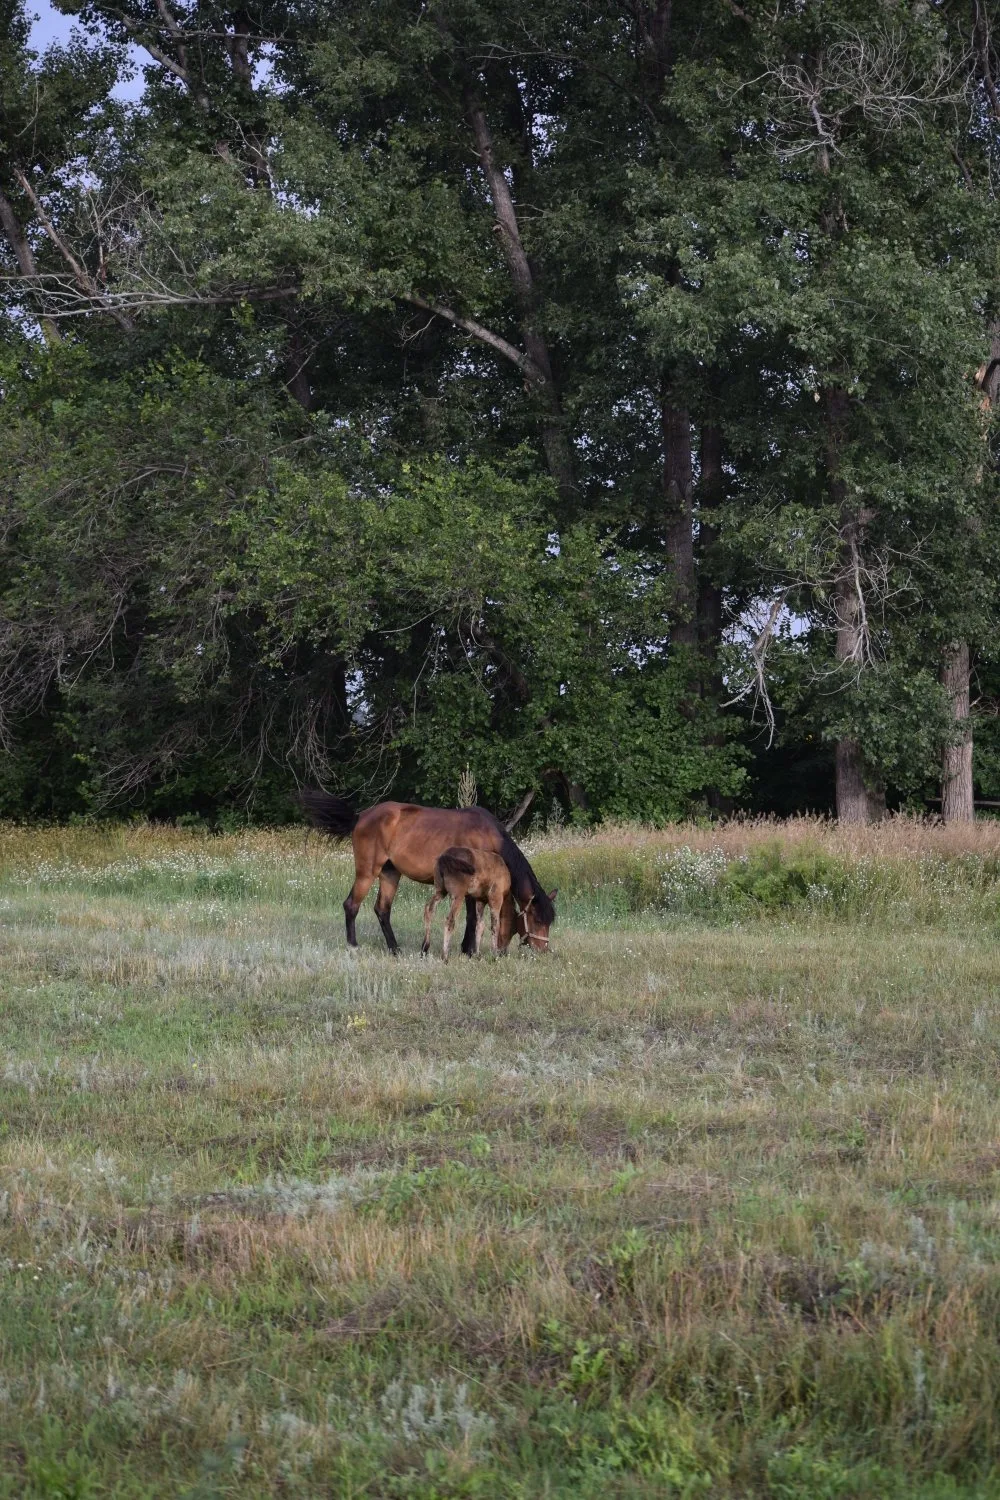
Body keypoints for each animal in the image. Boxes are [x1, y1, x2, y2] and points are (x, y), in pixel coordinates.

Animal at [299, 791, 556, 955]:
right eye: (537, 919)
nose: (543, 950)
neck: (488, 837)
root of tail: (359, 817)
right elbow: (472, 918)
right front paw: (468, 950)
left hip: (390, 874)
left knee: (382, 910)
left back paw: (395, 949)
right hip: (367, 872)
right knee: (351, 905)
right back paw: (353, 946)